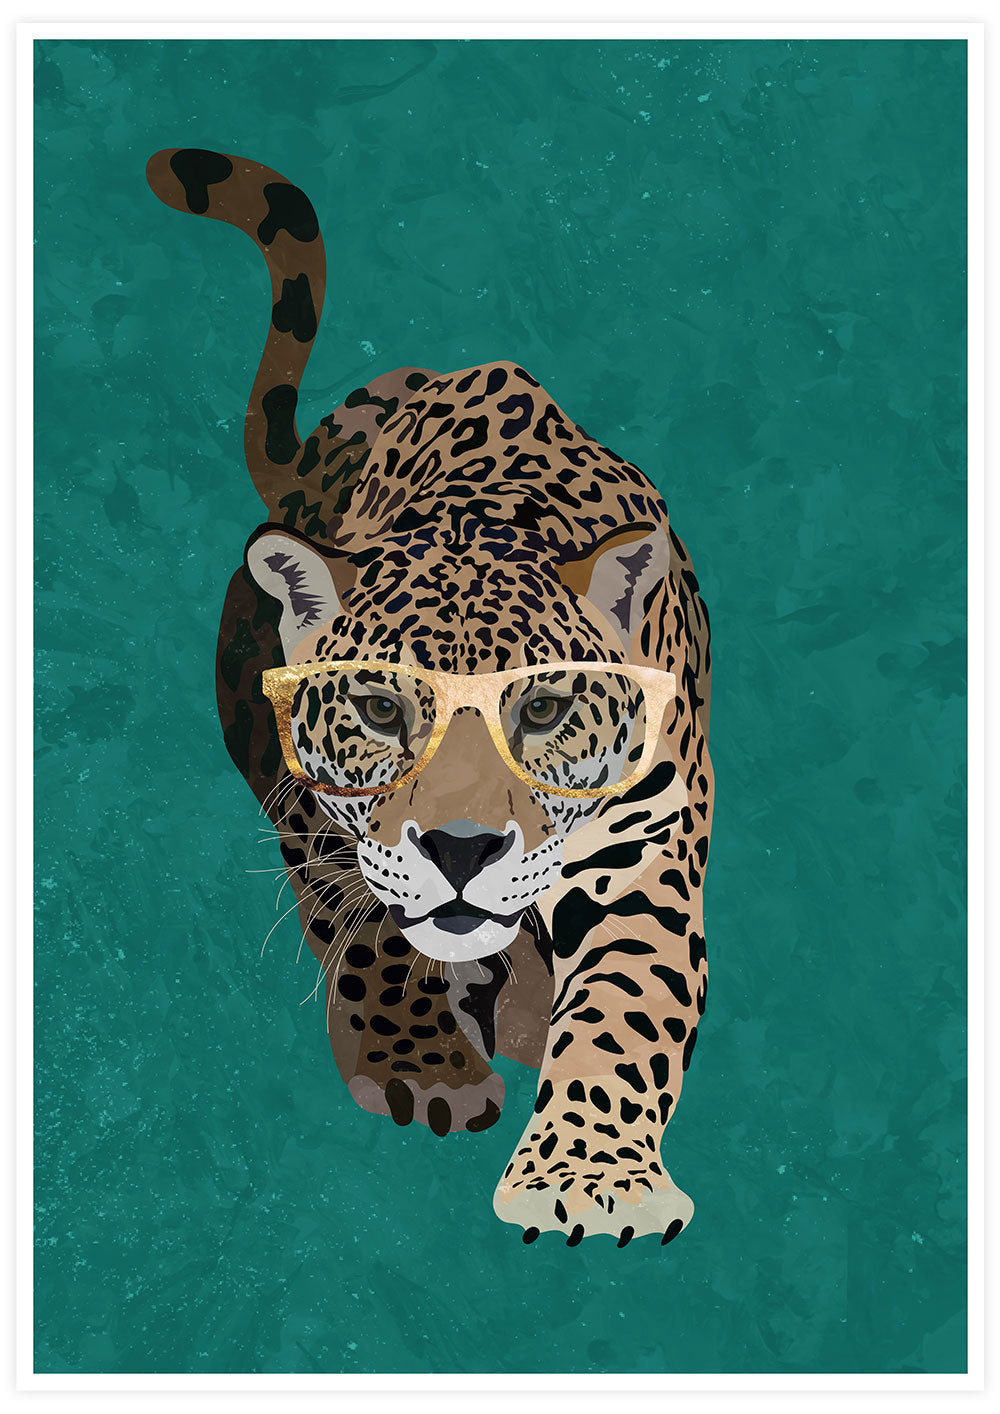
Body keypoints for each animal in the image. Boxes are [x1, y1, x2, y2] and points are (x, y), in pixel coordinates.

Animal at [146, 146, 714, 1247]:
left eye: (540, 710)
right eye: (379, 709)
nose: (461, 850)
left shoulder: (645, 843)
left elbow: (627, 1005)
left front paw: (590, 1178)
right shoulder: (323, 813)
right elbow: (372, 929)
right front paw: (422, 1065)